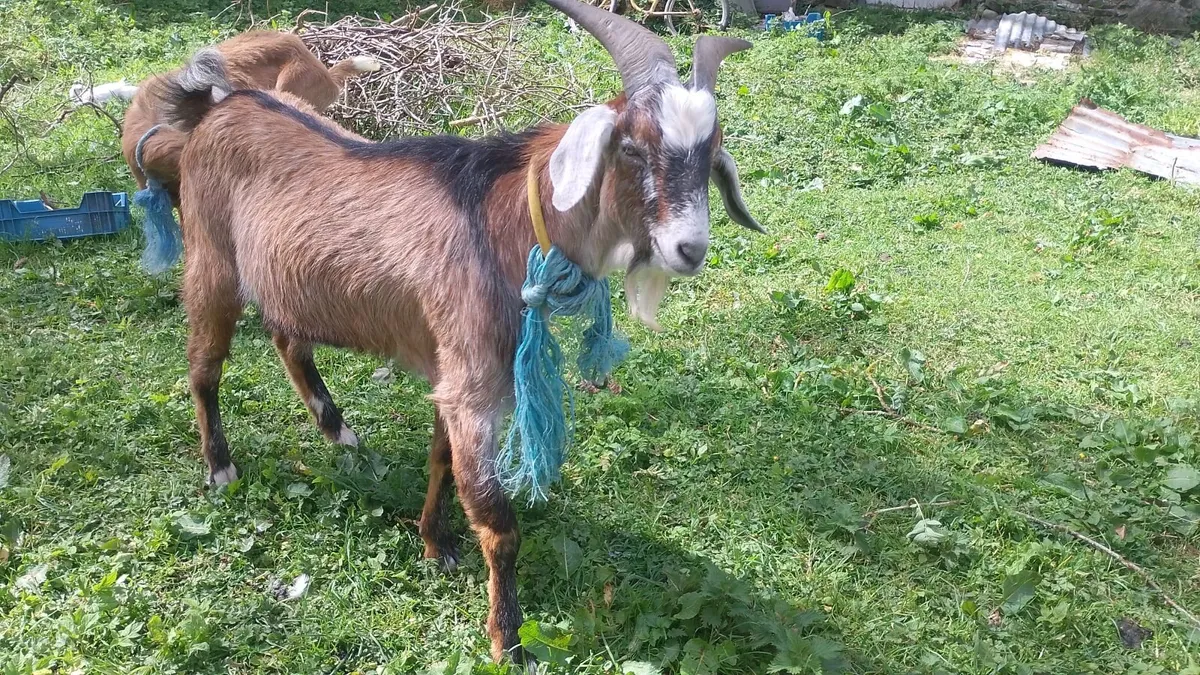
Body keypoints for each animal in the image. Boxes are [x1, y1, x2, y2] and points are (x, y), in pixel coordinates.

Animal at [149, 0, 761, 661]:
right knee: (203, 365)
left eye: (711, 154)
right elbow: (497, 521)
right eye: (632, 148)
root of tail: (221, 105)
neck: (499, 221)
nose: (689, 248)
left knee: (288, 337)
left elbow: (441, 458)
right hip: (211, 261)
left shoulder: (450, 370)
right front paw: (507, 640)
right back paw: (220, 468)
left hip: (285, 279)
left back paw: (338, 429)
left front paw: (434, 543)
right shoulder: (472, 382)